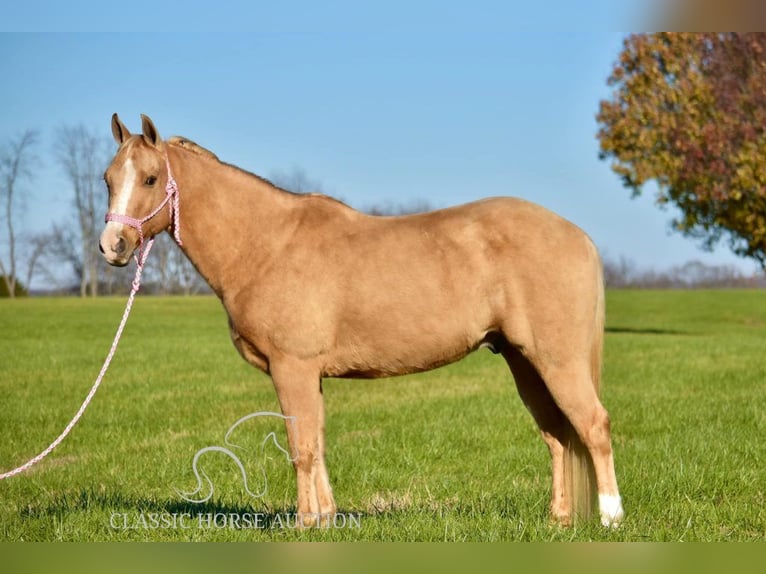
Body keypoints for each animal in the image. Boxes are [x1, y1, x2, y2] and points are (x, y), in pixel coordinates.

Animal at [97, 113, 624, 532]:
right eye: (107, 178)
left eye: (150, 179)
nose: (113, 246)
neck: (266, 244)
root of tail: (577, 235)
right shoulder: (309, 375)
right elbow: (317, 442)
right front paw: (326, 519)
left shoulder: (293, 368)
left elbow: (301, 447)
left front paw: (304, 524)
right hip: (524, 361)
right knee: (557, 434)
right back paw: (558, 519)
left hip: (557, 360)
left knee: (593, 426)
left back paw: (611, 517)